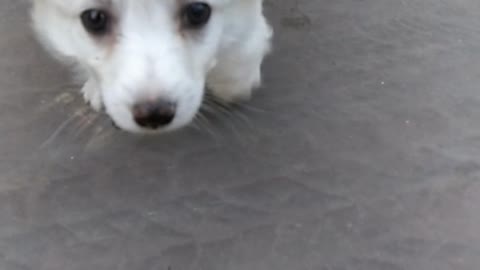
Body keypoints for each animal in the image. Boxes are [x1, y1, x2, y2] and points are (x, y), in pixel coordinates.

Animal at [30, 0, 272, 133]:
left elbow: (242, 50)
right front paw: (95, 87)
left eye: (197, 11)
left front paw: (236, 80)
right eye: (94, 18)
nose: (154, 115)